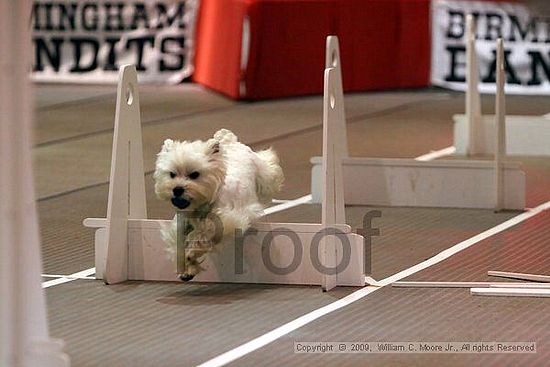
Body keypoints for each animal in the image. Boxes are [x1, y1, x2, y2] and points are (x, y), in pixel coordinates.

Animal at [154, 129, 284, 282]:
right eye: (172, 174)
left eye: (194, 174)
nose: (177, 189)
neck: (200, 206)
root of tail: (229, 141)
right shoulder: (180, 225)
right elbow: (177, 245)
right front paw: (187, 269)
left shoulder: (226, 220)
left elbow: (205, 233)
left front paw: (192, 253)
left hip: (263, 172)